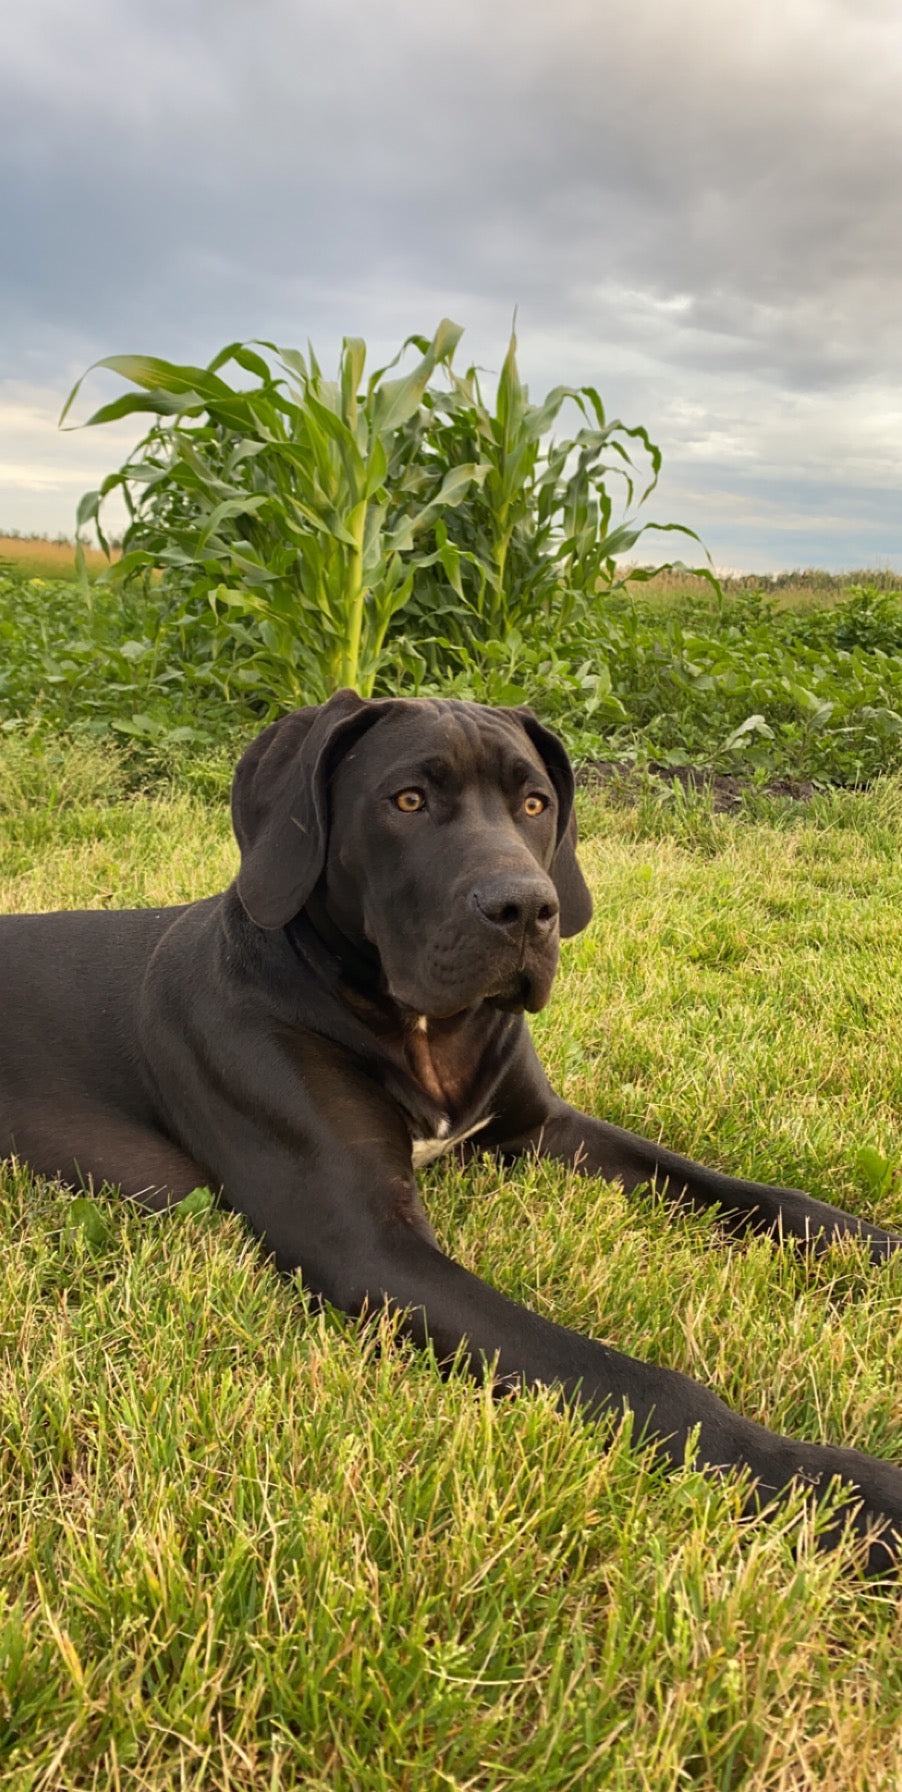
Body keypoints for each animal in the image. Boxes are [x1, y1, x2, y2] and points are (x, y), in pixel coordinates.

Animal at [0, 695, 900, 1569]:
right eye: (407, 800)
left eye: (535, 803)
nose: (527, 908)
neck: (424, 1031)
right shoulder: (369, 1245)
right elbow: (631, 1380)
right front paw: (840, 1489)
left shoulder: (545, 1130)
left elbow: (755, 1193)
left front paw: (876, 1246)